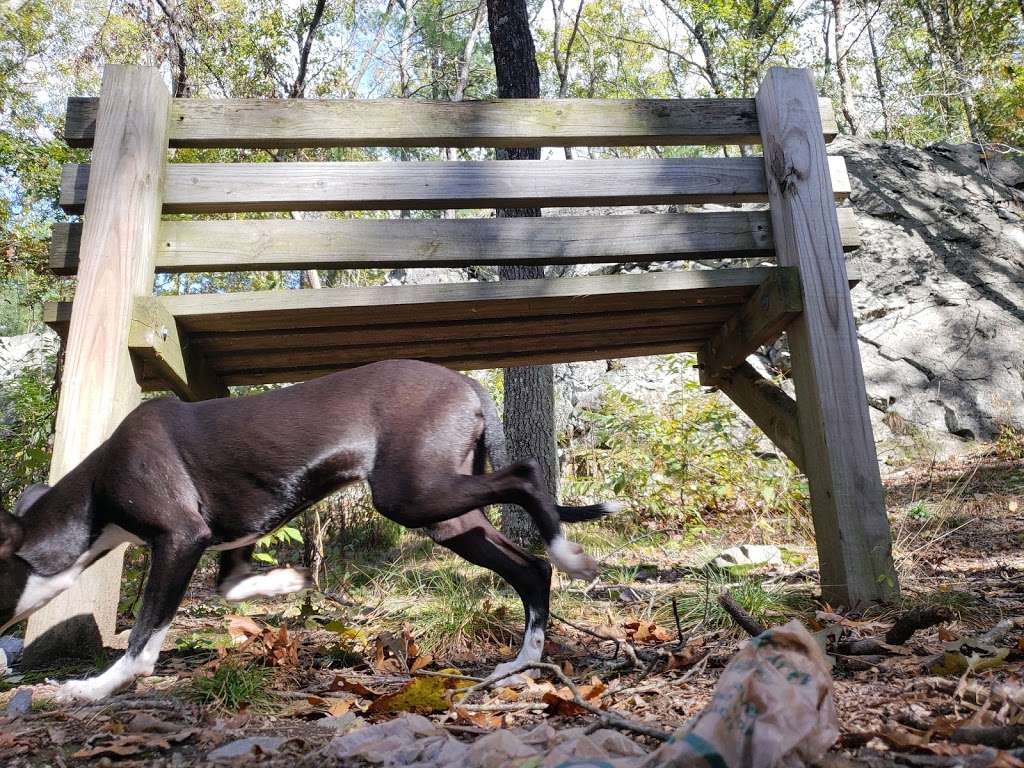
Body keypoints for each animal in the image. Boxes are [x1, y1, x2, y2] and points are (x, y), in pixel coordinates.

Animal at [0, 360, 614, 704]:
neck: (98, 489)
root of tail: (466, 382)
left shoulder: (178, 539)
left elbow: (144, 633)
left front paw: (94, 688)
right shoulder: (234, 537)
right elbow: (231, 586)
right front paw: (291, 583)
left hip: (412, 495)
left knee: (527, 477)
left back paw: (567, 553)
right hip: (446, 517)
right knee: (530, 571)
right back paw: (524, 661)